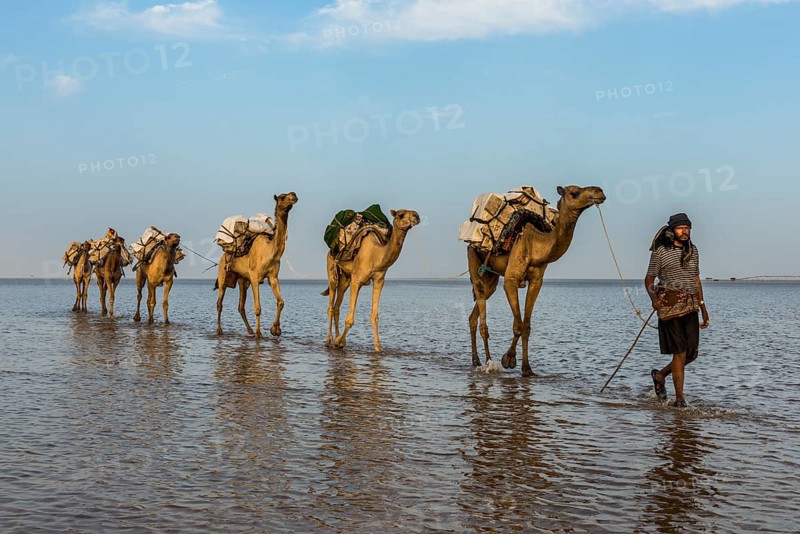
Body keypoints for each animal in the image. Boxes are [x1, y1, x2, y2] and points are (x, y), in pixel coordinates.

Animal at [215, 192, 298, 338]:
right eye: (282, 197)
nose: (294, 195)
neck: (269, 252)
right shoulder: (254, 276)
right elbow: (258, 307)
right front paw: (260, 334)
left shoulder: (273, 277)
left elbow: (281, 302)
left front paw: (275, 329)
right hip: (223, 274)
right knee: (220, 303)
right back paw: (220, 330)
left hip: (243, 280)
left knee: (241, 306)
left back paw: (250, 331)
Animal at [325, 209, 421, 352]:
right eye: (401, 215)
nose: (416, 216)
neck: (376, 254)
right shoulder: (356, 280)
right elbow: (350, 319)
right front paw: (338, 342)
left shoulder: (379, 281)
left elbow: (374, 316)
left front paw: (378, 347)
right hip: (332, 271)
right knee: (330, 306)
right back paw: (329, 340)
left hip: (345, 277)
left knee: (337, 307)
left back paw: (337, 338)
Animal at [468, 185, 606, 376]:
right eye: (575, 193)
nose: (600, 192)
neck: (536, 245)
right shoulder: (511, 280)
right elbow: (518, 324)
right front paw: (508, 359)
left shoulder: (536, 281)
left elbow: (526, 326)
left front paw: (527, 368)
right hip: (474, 261)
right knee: (482, 320)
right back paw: (488, 362)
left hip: (492, 278)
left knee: (474, 316)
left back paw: (476, 360)